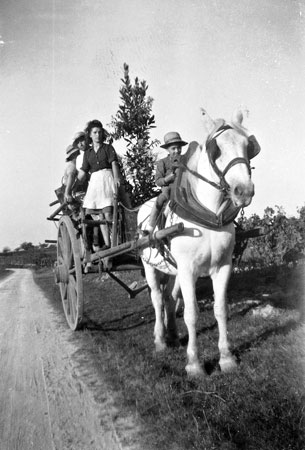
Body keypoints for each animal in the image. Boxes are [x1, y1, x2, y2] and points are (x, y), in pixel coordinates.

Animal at [138, 108, 258, 376]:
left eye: (248, 146)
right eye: (217, 149)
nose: (243, 191)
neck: (208, 216)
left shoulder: (223, 267)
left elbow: (221, 310)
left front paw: (226, 357)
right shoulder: (188, 270)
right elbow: (191, 313)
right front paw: (194, 363)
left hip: (172, 270)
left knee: (169, 299)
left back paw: (172, 336)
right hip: (150, 267)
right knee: (157, 299)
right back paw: (160, 340)